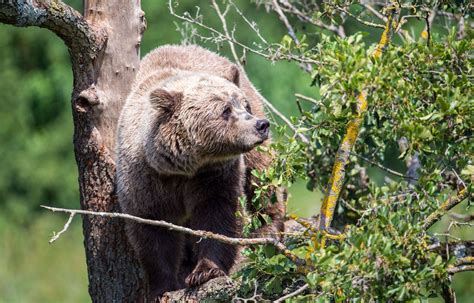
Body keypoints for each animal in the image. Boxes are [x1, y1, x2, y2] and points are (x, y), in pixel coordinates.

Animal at [116, 45, 284, 300]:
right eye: (225, 110)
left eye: (244, 106)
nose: (260, 125)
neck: (184, 167)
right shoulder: (145, 180)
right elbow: (152, 230)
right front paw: (163, 286)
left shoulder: (214, 176)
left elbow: (218, 216)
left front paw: (204, 271)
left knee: (261, 179)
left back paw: (269, 230)